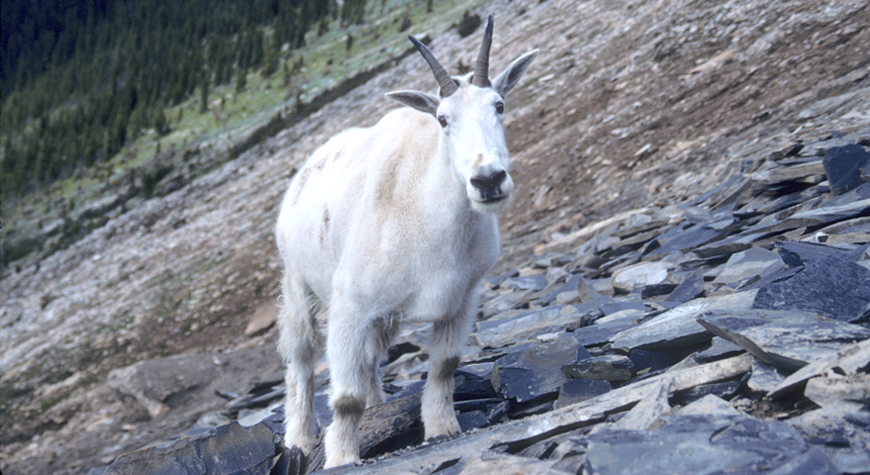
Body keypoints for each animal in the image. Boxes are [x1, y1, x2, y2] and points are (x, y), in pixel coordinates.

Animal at [278, 15, 540, 468]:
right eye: (442, 119)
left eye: (499, 105)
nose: (488, 180)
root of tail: (304, 170)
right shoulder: (349, 308)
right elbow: (345, 398)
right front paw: (342, 459)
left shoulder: (462, 298)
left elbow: (444, 366)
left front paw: (442, 429)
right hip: (299, 286)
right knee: (300, 362)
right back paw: (298, 439)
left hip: (382, 318)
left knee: (369, 362)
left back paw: (378, 407)